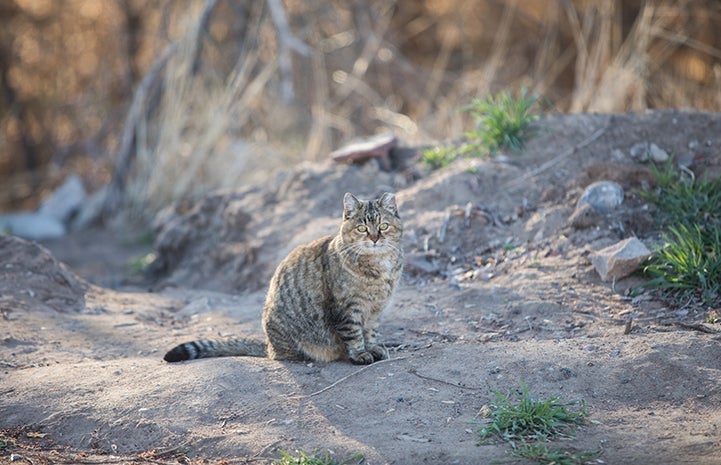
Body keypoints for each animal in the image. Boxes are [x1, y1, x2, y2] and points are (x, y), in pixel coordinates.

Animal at [162, 190, 404, 364]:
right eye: (362, 228)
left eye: (383, 226)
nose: (374, 238)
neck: (378, 266)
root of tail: (269, 346)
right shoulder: (346, 309)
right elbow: (354, 334)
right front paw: (360, 354)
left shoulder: (376, 310)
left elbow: (370, 332)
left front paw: (373, 348)